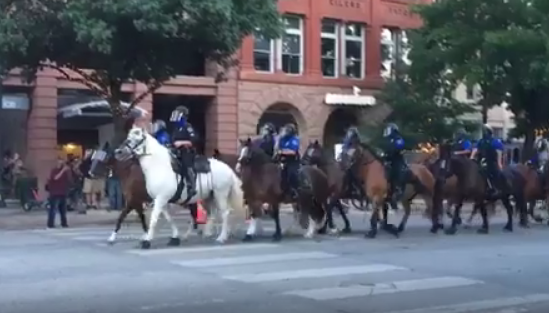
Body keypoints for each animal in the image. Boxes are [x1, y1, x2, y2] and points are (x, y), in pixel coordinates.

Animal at [113, 125, 244, 249]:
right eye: (128, 137)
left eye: (136, 139)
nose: (118, 152)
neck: (158, 166)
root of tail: (228, 169)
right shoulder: (160, 200)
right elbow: (168, 218)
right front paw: (174, 238)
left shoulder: (160, 199)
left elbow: (154, 219)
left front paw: (147, 241)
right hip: (209, 197)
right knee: (211, 214)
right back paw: (207, 234)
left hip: (220, 194)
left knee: (225, 213)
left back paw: (221, 237)